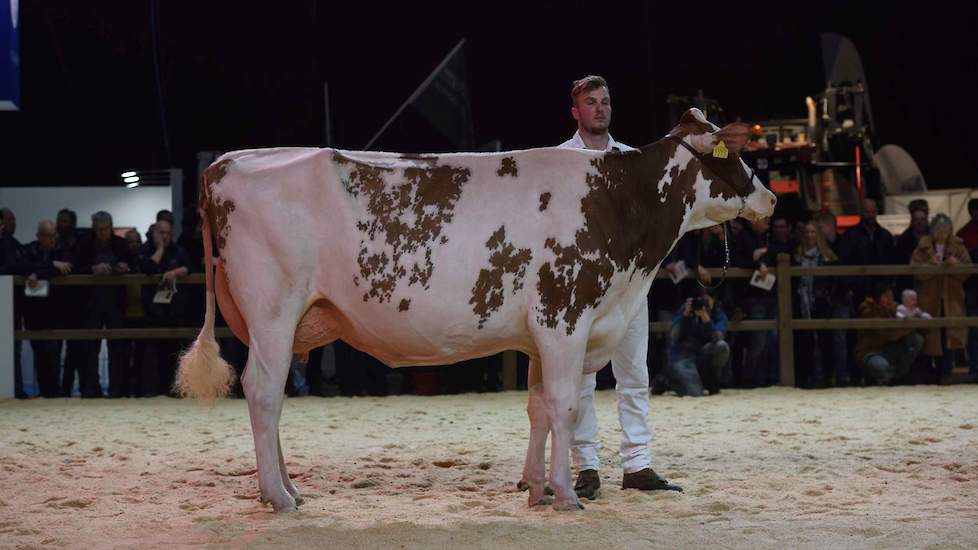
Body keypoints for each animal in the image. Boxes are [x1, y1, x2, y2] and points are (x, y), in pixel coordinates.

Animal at [175, 108, 772, 512]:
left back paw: (287, 487)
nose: (769, 199)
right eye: (734, 153)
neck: (615, 202)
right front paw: (565, 494)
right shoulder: (565, 319)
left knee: (271, 395)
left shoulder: (543, 333)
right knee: (262, 391)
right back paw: (278, 496)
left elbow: (537, 408)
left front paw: (535, 488)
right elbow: (564, 406)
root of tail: (229, 162)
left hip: (274, 320)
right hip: (273, 311)